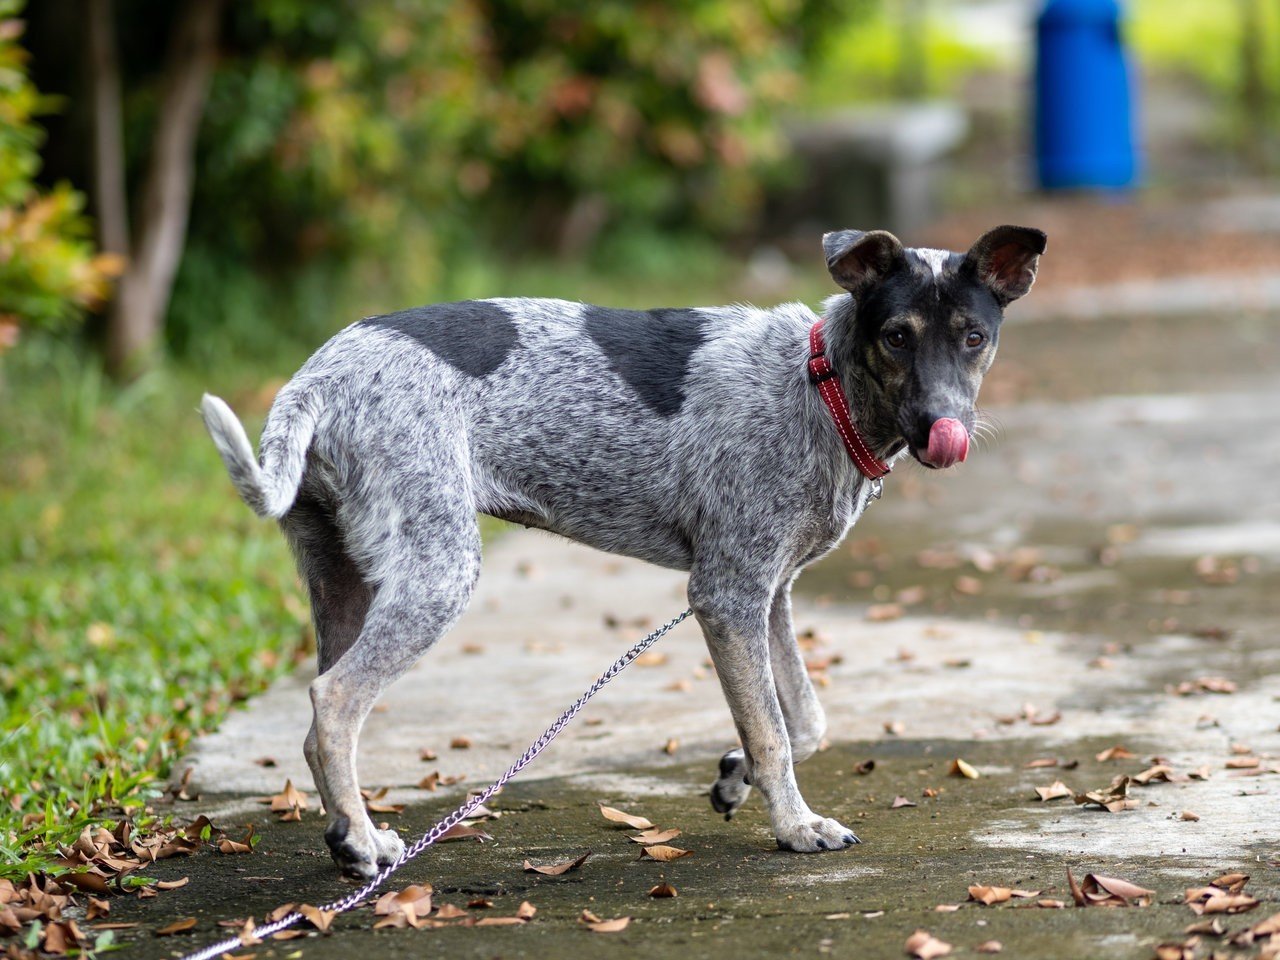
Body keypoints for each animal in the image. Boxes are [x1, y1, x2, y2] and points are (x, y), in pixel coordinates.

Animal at [199, 225, 1039, 880]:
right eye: (897, 336)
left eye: (974, 337)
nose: (943, 428)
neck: (820, 384)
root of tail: (315, 379)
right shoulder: (727, 595)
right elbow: (775, 731)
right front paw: (795, 827)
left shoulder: (768, 595)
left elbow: (801, 719)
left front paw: (735, 779)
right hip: (439, 571)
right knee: (333, 702)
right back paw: (364, 843)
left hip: (343, 580)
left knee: (321, 717)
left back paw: (350, 835)